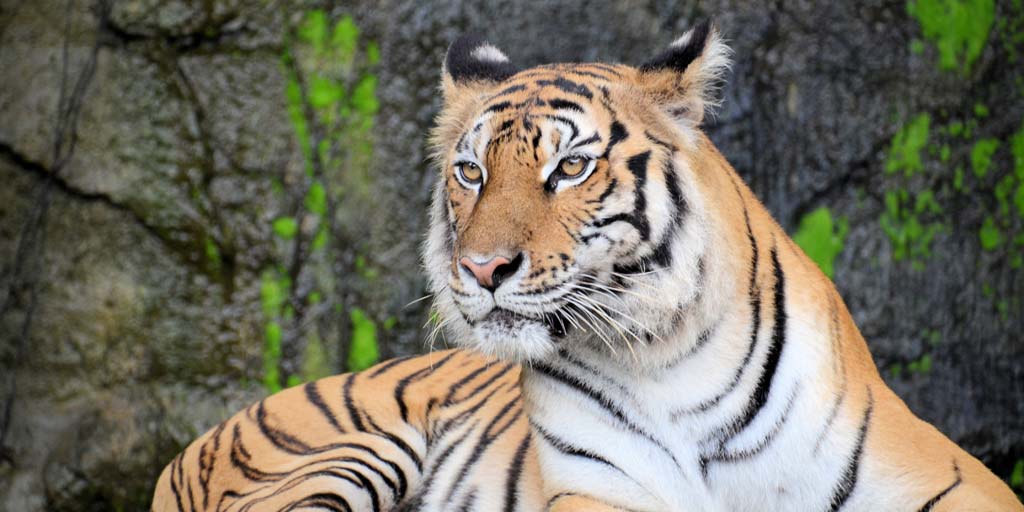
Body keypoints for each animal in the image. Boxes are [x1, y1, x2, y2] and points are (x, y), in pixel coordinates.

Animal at [151, 21, 1023, 512]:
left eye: (568, 168)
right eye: (471, 173)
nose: (483, 268)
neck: (670, 357)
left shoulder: (946, 477)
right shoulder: (602, 493)